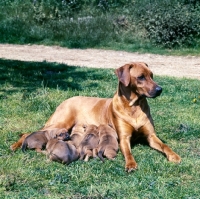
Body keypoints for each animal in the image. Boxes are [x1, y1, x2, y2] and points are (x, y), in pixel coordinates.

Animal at [10, 62, 180, 173]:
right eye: (141, 77)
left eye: (152, 75)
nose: (160, 89)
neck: (134, 107)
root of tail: (66, 100)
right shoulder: (123, 138)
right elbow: (128, 152)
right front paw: (131, 164)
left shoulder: (151, 136)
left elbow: (165, 145)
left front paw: (174, 155)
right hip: (61, 122)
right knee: (29, 133)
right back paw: (15, 145)